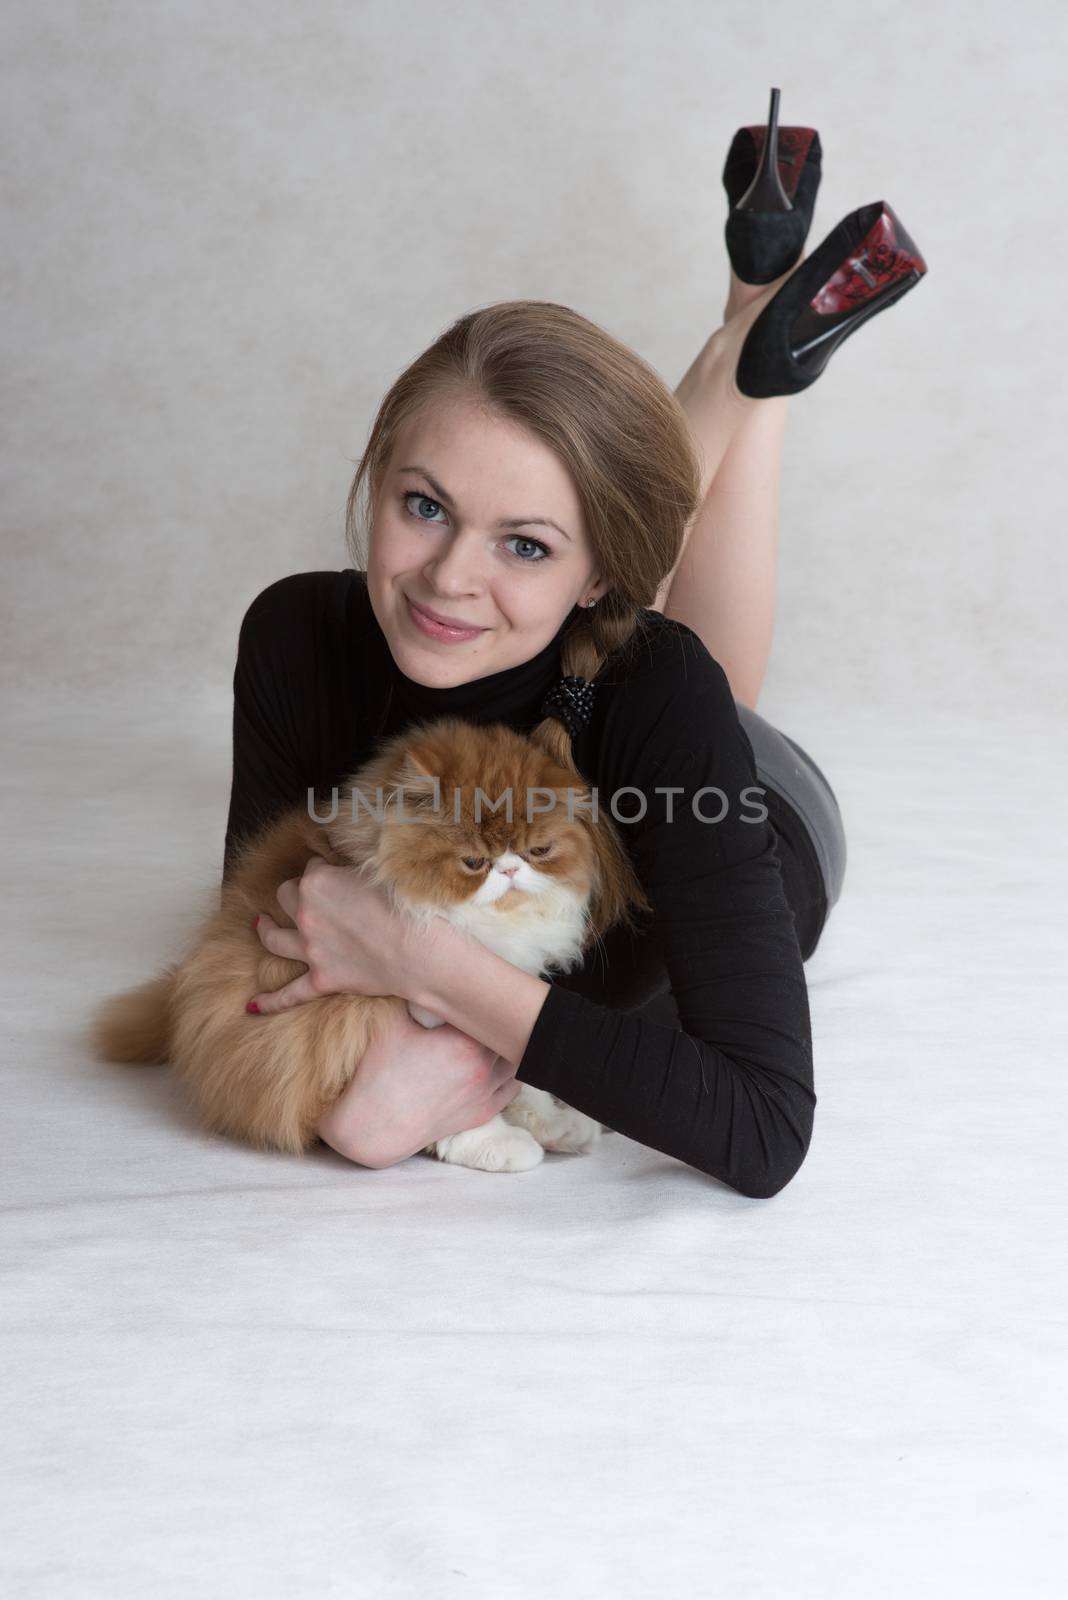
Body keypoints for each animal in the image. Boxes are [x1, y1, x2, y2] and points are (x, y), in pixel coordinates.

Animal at [91, 716, 645, 1177]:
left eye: (538, 851)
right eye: (473, 863)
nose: (509, 869)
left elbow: (523, 1076)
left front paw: (552, 1121)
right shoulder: (415, 1017)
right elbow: (459, 1106)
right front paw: (500, 1144)